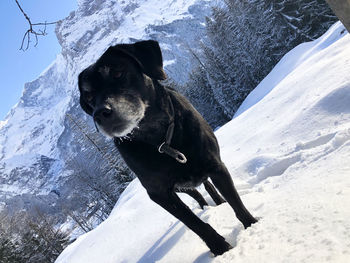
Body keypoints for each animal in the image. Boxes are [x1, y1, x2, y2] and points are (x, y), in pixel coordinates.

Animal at [78, 40, 258, 256]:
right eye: (89, 97)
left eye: (117, 73)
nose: (99, 113)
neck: (160, 138)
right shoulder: (160, 193)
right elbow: (195, 224)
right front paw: (220, 249)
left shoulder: (216, 166)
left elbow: (235, 202)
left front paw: (253, 226)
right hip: (179, 186)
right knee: (196, 194)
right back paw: (206, 209)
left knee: (207, 186)